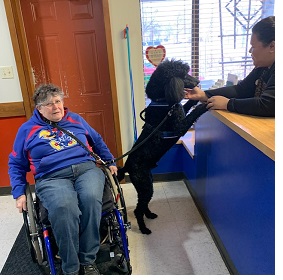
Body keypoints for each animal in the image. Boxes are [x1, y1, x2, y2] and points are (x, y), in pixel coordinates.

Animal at [117, 59, 209, 234]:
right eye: (183, 74)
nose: (197, 81)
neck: (162, 100)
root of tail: (127, 167)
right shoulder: (179, 126)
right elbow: (193, 114)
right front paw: (205, 104)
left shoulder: (179, 108)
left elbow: (188, 104)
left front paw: (201, 96)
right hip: (145, 184)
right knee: (138, 209)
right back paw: (144, 228)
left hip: (146, 182)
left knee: (143, 203)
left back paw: (150, 214)